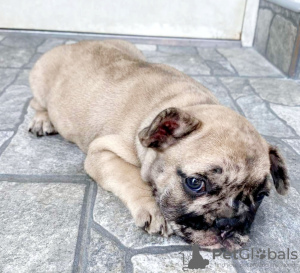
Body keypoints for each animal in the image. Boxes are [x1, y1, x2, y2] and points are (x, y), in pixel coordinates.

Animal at [28, 39, 288, 250]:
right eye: (195, 184)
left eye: (261, 196)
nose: (230, 223)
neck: (191, 104)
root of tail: (72, 44)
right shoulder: (101, 152)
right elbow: (132, 177)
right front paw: (154, 210)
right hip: (40, 84)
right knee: (36, 104)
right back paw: (42, 121)